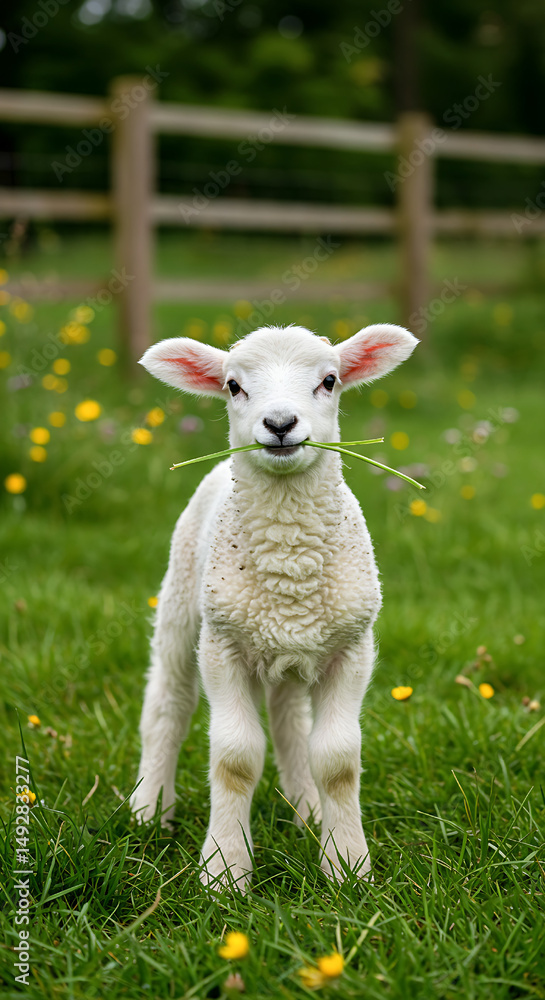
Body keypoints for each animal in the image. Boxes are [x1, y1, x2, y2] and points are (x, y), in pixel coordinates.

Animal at [130, 322, 418, 892]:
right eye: (233, 385)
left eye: (330, 380)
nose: (280, 424)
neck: (289, 560)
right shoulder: (222, 647)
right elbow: (235, 759)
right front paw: (224, 872)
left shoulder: (352, 648)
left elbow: (337, 760)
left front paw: (346, 866)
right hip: (181, 603)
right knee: (168, 706)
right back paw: (149, 811)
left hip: (291, 648)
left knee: (290, 724)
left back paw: (306, 811)